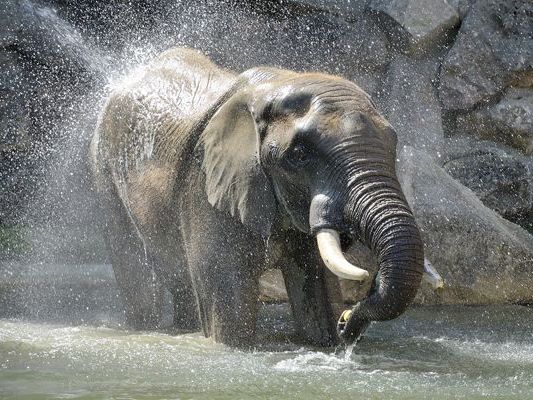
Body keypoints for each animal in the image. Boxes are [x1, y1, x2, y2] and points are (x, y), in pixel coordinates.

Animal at [89, 47, 426, 346]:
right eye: (299, 155)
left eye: (392, 145)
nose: (348, 323)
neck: (275, 86)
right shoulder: (205, 186)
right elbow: (230, 306)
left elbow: (319, 290)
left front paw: (330, 336)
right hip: (104, 171)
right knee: (138, 279)